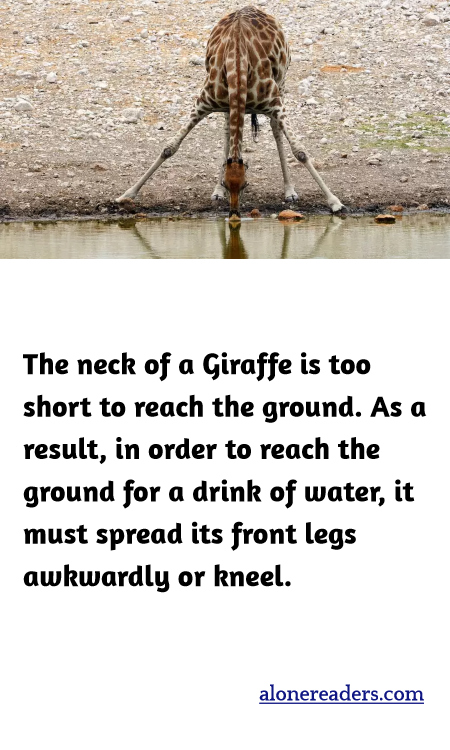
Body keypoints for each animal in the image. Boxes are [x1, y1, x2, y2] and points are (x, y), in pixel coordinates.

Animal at [116, 6, 344, 220]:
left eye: (245, 185)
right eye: (227, 184)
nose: (234, 214)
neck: (238, 63)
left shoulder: (275, 103)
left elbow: (300, 152)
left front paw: (335, 202)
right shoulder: (203, 102)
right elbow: (169, 148)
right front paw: (126, 195)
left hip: (282, 83)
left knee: (275, 129)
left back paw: (289, 191)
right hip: (229, 106)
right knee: (227, 131)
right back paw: (216, 191)